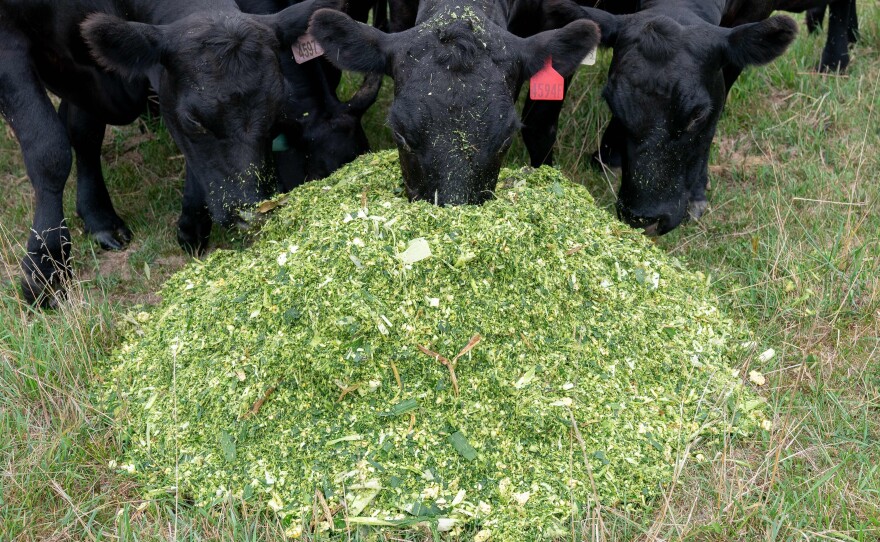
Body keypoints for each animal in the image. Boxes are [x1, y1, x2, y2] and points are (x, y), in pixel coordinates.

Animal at [0, 0, 336, 306]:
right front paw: (45, 268)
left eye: (277, 111)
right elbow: (50, 149)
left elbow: (84, 133)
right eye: (194, 120)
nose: (250, 211)